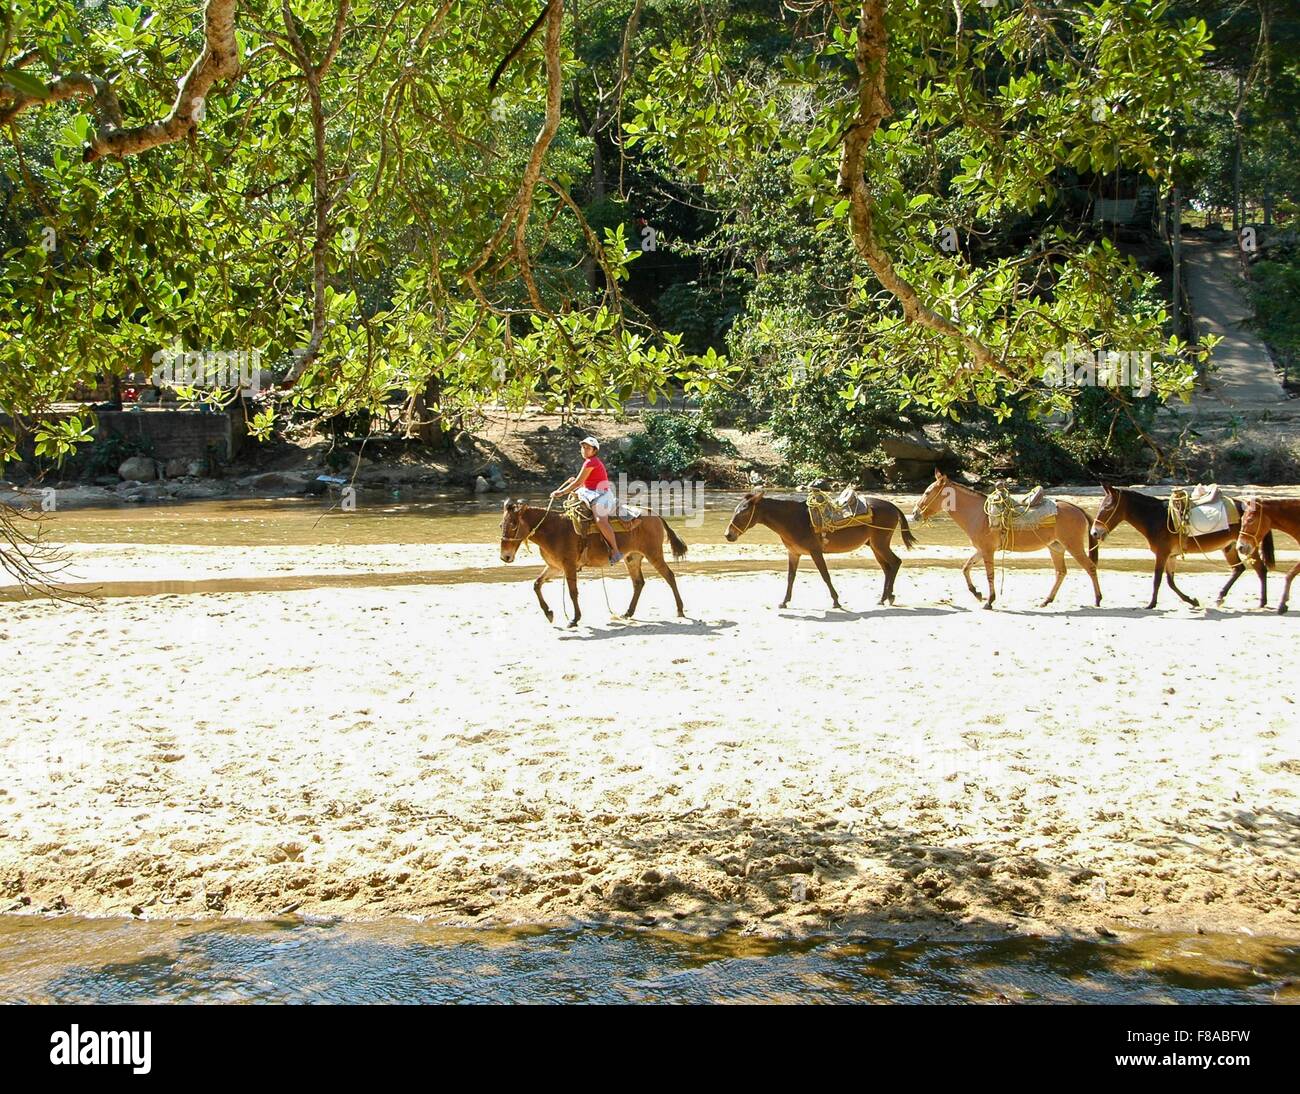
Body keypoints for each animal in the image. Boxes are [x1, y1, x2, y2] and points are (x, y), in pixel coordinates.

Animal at [496, 498, 686, 626]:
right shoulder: (554, 567)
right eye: (500, 525)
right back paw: (628, 612)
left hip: (654, 554)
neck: (553, 529)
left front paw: (574, 618)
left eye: (513, 525)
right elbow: (537, 584)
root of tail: (653, 514)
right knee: (638, 583)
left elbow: (573, 592)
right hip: (632, 557)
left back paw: (680, 609)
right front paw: (549, 613)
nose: (505, 556)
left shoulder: (569, 566)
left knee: (669, 576)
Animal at [722, 485, 915, 605]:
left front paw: (836, 601)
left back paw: (888, 596)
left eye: (743, 512)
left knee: (895, 563)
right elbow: (790, 577)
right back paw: (884, 598)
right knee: (887, 568)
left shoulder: (815, 552)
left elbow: (825, 576)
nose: (728, 534)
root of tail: (892, 506)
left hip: (880, 543)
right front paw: (784, 602)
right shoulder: (794, 553)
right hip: (875, 546)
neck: (793, 520)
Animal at [909, 467, 1102, 605]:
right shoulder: (981, 550)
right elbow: (965, 568)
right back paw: (1047, 601)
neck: (979, 515)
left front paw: (989, 601)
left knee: (1090, 567)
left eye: (927, 493)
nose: (915, 513)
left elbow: (990, 574)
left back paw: (1098, 599)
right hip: (1056, 547)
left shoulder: (988, 551)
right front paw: (977, 593)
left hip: (1073, 546)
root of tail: (1077, 509)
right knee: (1061, 572)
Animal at [1092, 483, 1274, 610]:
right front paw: (1192, 601)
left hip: (1248, 546)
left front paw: (1151, 604)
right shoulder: (1170, 556)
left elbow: (1157, 580)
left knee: (1260, 569)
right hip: (1229, 547)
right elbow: (1170, 582)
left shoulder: (1162, 554)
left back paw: (1262, 602)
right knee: (1239, 569)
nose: (1094, 532)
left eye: (1107, 508)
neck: (1156, 517)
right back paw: (1220, 597)